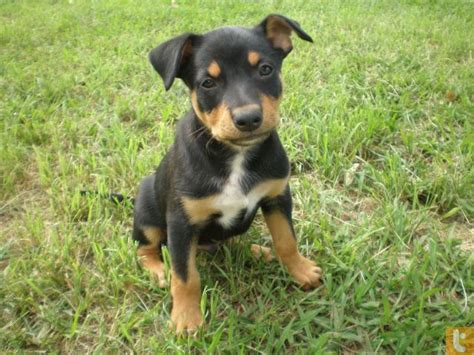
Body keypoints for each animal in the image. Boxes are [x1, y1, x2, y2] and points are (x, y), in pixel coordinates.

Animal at [132, 13, 322, 336]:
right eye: (207, 83)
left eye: (265, 69)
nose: (248, 119)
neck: (235, 156)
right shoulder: (181, 223)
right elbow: (185, 276)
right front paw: (186, 319)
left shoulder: (277, 196)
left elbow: (287, 240)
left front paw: (301, 270)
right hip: (147, 211)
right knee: (146, 248)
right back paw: (158, 270)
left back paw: (258, 251)